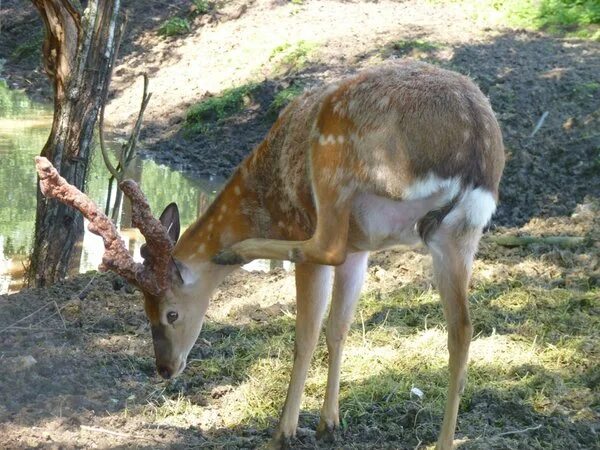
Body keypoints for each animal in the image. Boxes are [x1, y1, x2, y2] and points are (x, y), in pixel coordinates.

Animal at [35, 60, 504, 450]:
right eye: (143, 309)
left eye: (170, 312)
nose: (164, 369)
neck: (259, 195)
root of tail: (476, 149)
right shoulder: (363, 248)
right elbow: (340, 327)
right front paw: (329, 423)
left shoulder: (311, 228)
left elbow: (308, 333)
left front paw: (287, 430)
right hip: (457, 234)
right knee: (462, 328)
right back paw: (444, 441)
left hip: (333, 168)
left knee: (324, 247)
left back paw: (235, 252)